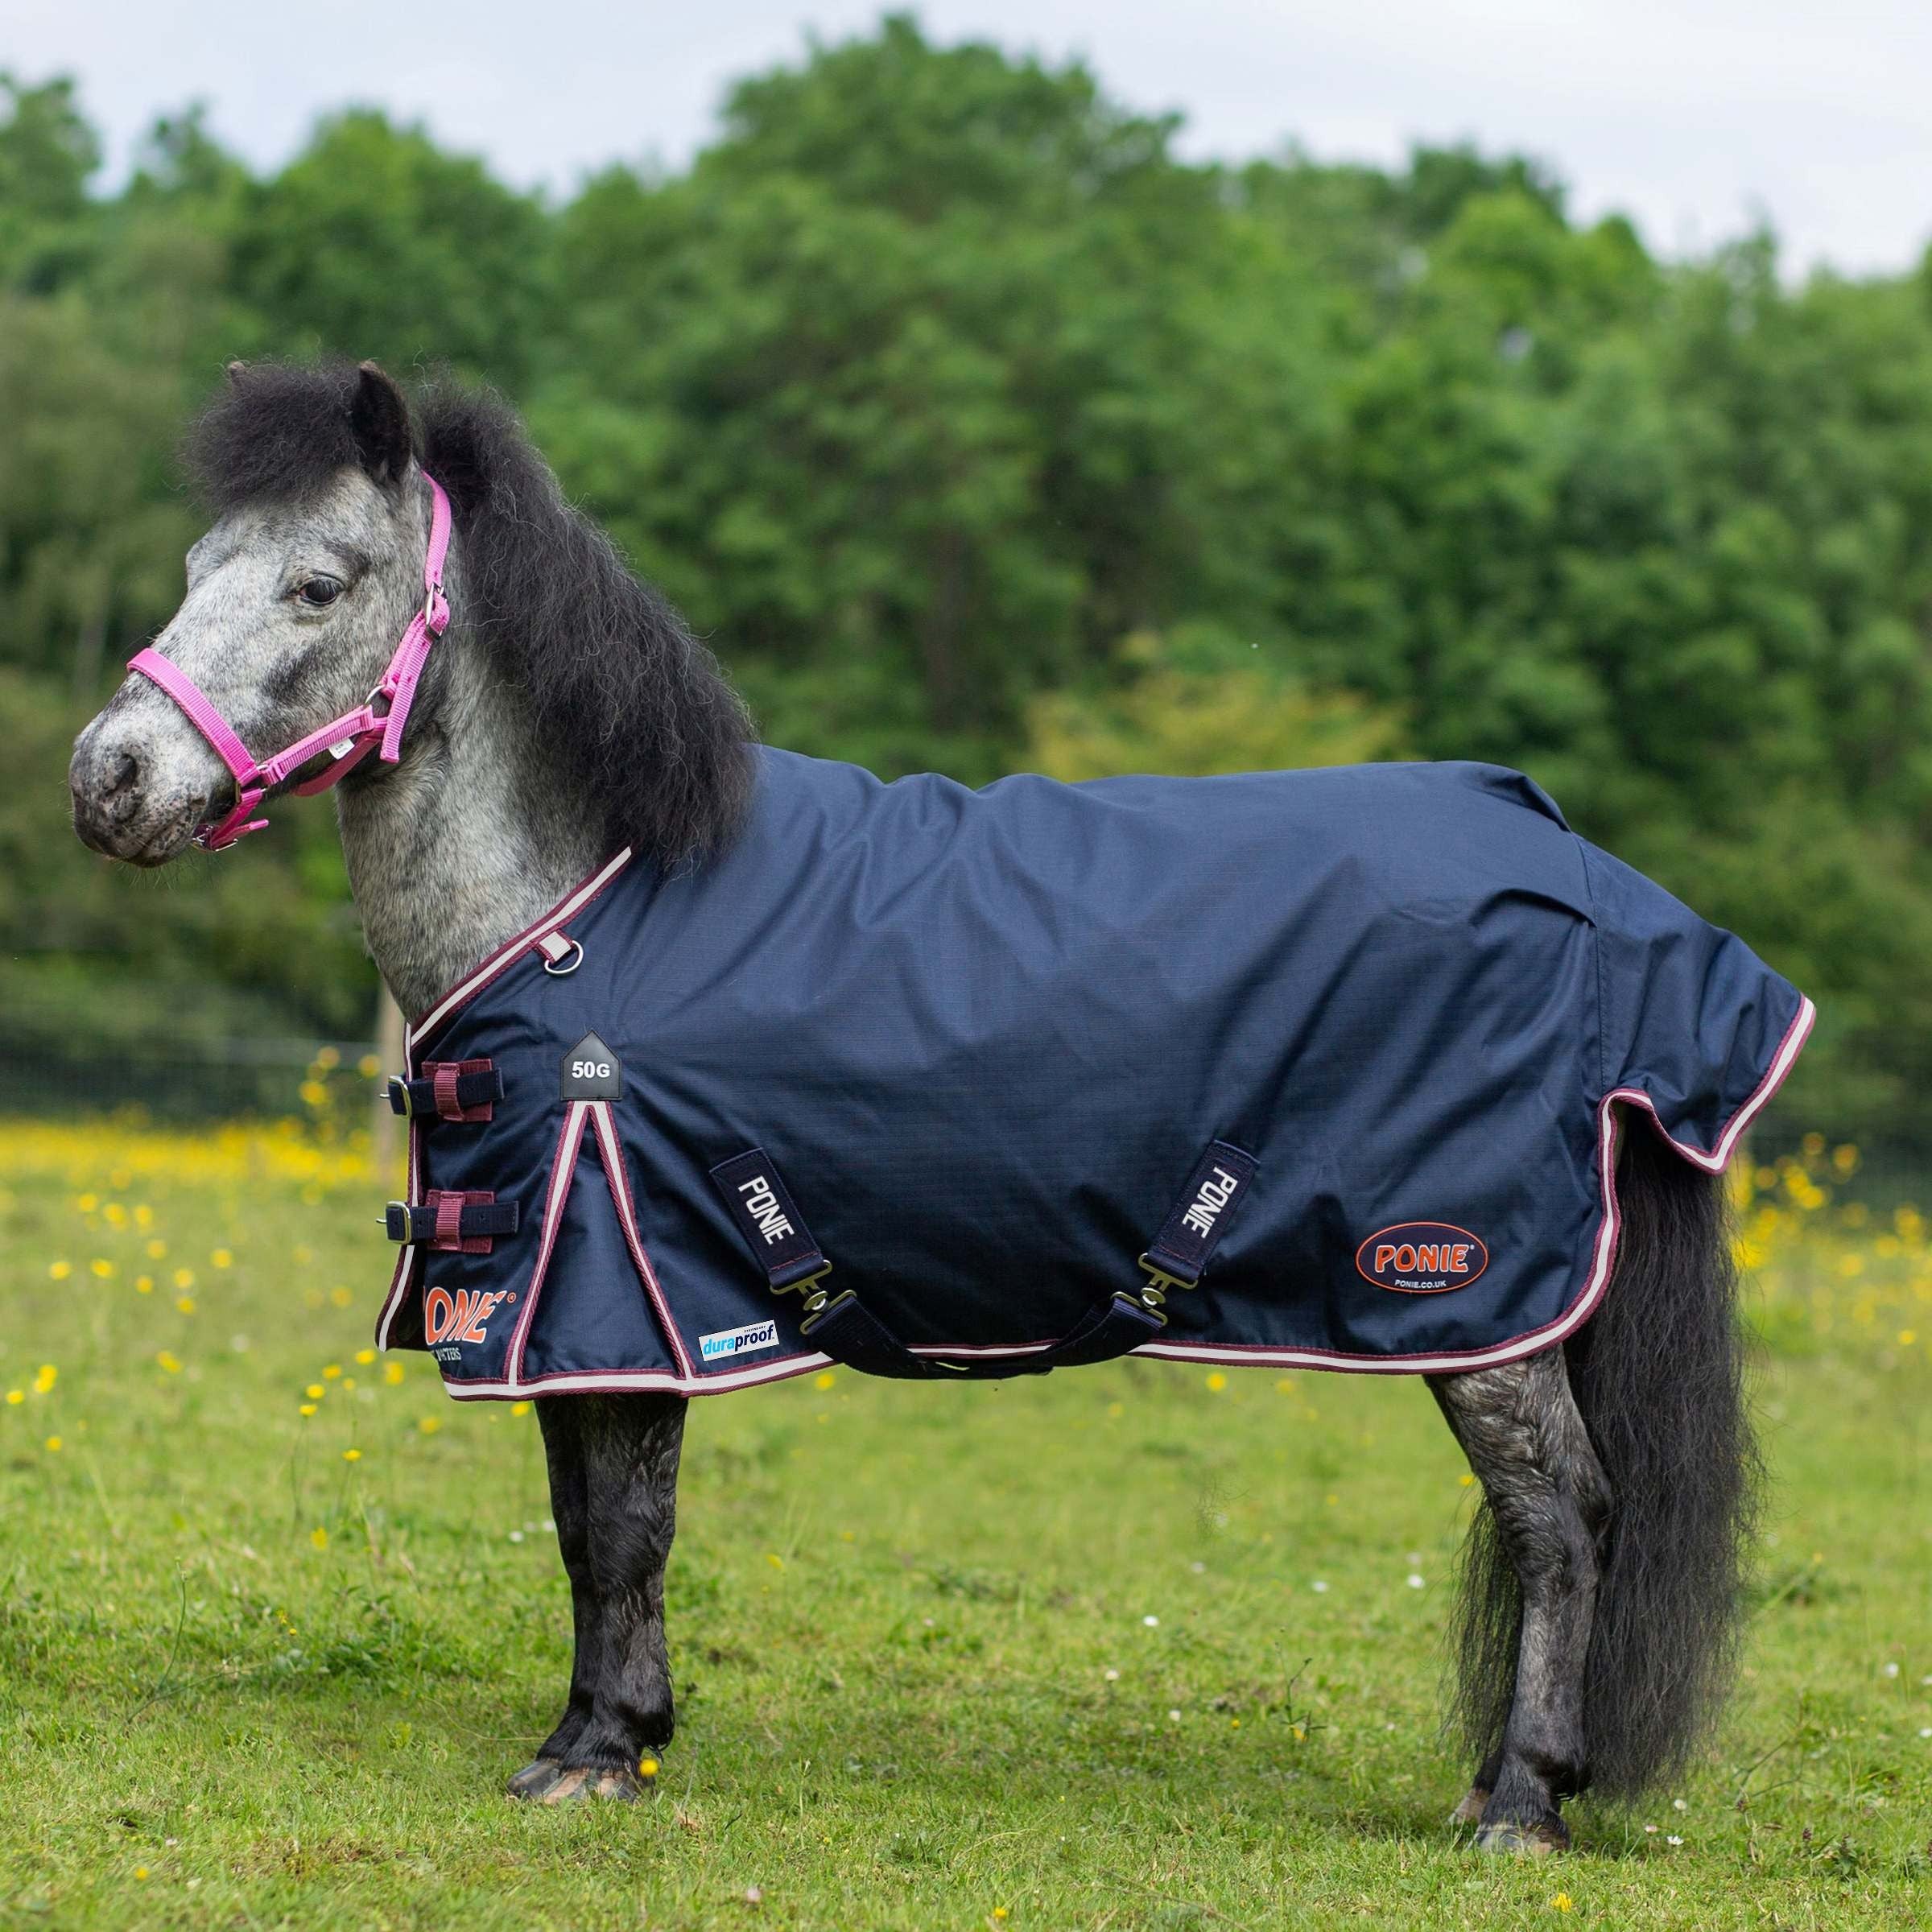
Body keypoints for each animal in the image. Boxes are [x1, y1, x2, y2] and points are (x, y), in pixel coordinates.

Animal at [68, 360, 1791, 1853]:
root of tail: (1585, 875)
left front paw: (604, 1757)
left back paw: (1522, 1804)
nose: (107, 779)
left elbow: (625, 1527)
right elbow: (577, 1525)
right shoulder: (564, 1304)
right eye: (197, 563)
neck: (587, 905)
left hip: (1470, 1297)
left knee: (1562, 1516)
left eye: (318, 585)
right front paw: (596, 1732)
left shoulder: (629, 1279)